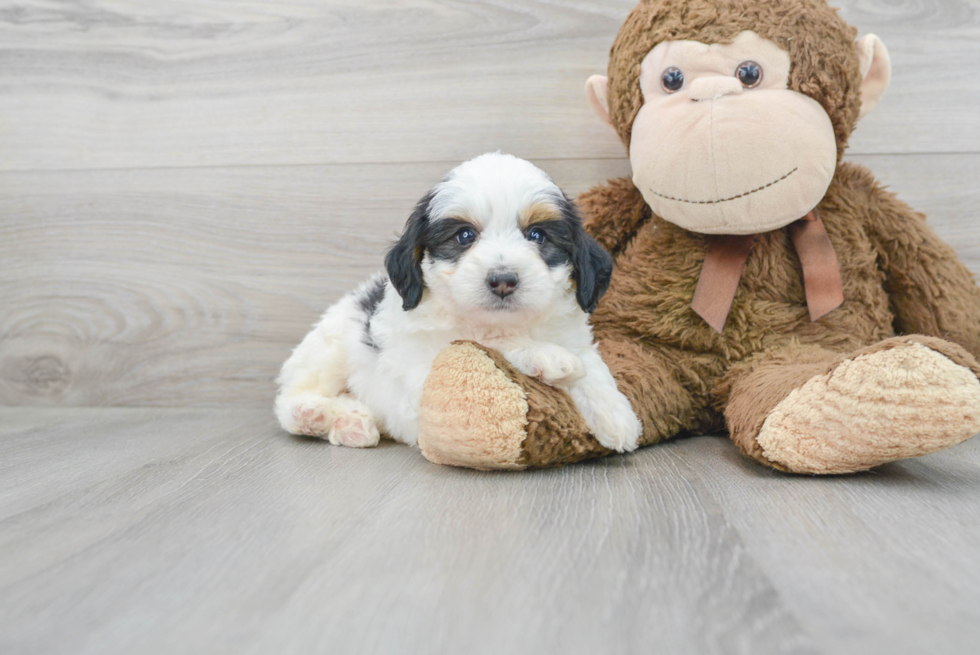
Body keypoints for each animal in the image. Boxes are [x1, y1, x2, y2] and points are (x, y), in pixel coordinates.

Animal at [276, 152, 644, 454]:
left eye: (537, 235)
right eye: (464, 236)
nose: (503, 279)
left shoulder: (575, 337)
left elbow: (592, 367)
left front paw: (615, 414)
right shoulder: (426, 375)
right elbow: (484, 342)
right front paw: (544, 355)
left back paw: (352, 423)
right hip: (328, 351)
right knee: (289, 399)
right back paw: (313, 414)